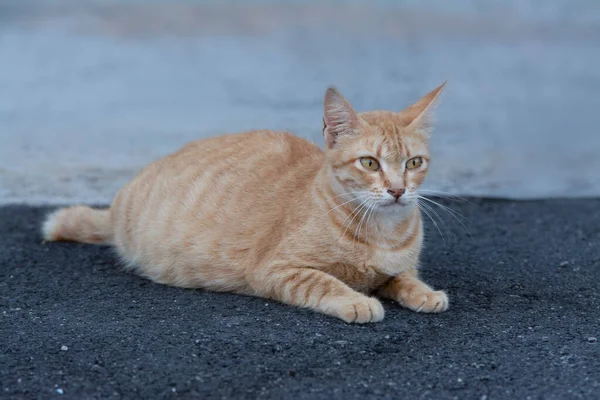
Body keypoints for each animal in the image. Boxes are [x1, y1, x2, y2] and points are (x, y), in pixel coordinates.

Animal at [42, 83, 448, 324]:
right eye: (370, 163)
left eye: (414, 163)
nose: (397, 190)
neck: (382, 232)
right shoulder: (276, 269)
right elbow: (324, 282)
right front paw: (357, 301)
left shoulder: (398, 267)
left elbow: (404, 278)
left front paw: (425, 293)